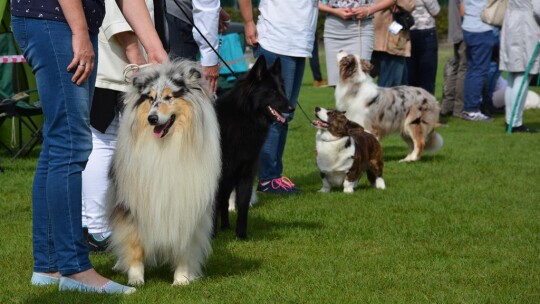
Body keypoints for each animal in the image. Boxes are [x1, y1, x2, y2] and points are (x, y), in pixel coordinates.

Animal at [106, 60, 220, 286]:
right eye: (150, 98)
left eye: (169, 97)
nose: (152, 118)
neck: (167, 146)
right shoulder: (134, 207)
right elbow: (135, 245)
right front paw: (135, 279)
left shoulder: (187, 207)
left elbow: (184, 247)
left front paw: (182, 279)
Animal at [214, 55, 292, 240]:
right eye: (272, 91)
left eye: (282, 89)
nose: (292, 107)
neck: (244, 117)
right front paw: (211, 236)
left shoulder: (245, 173)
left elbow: (242, 206)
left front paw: (241, 235)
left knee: (224, 199)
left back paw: (226, 226)